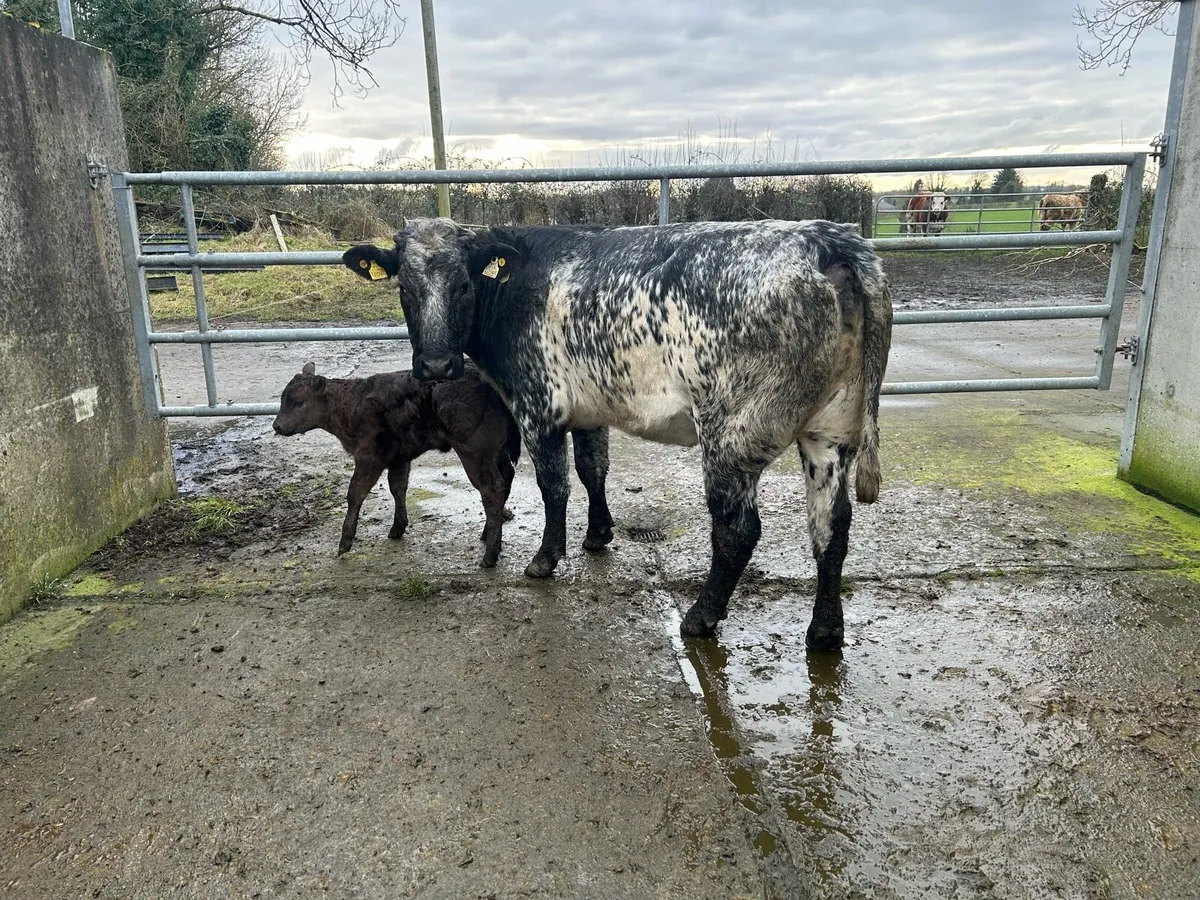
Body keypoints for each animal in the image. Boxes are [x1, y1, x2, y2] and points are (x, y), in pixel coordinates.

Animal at [272, 361, 521, 567]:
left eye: (298, 402)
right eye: (283, 399)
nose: (277, 426)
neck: (352, 402)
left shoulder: (369, 456)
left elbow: (355, 493)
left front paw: (345, 542)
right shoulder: (399, 457)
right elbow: (398, 487)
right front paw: (397, 527)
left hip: (474, 452)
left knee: (492, 489)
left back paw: (490, 555)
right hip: (495, 452)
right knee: (506, 478)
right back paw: (490, 535)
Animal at [343, 217, 893, 651]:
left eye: (463, 285)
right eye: (405, 288)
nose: (436, 365)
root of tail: (827, 240)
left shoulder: (538, 406)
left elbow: (554, 485)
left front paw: (545, 558)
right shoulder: (590, 409)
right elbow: (593, 469)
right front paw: (598, 535)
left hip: (733, 432)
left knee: (738, 530)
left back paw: (701, 617)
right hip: (829, 430)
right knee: (832, 526)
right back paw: (825, 632)